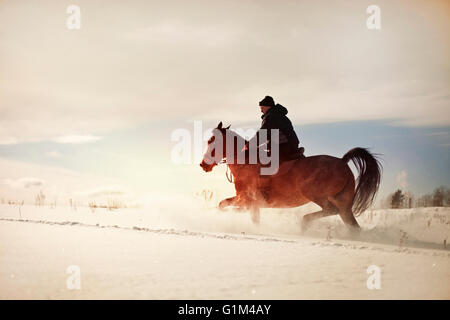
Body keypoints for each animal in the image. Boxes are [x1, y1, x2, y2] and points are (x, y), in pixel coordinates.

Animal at [199, 122, 382, 230]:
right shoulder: (252, 202)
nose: (203, 164)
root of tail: (343, 162)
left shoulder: (247, 197)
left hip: (315, 193)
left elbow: (225, 205)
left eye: (211, 141)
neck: (245, 161)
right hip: (344, 206)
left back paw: (304, 221)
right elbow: (237, 210)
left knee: (330, 210)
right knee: (351, 224)